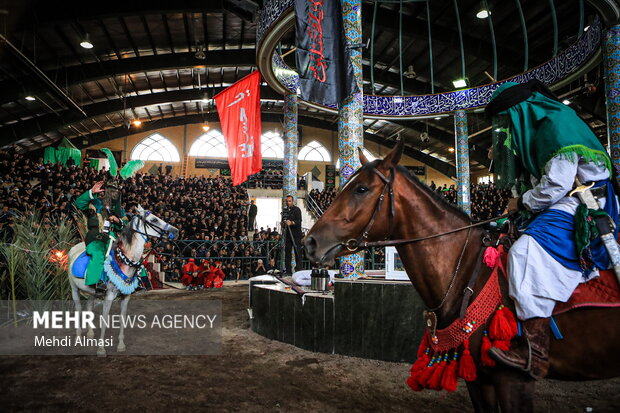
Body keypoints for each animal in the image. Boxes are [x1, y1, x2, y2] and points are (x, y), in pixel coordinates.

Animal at [68, 204, 179, 356]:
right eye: (154, 220)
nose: (176, 231)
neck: (124, 260)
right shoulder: (109, 296)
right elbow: (105, 319)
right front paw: (101, 349)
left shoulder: (125, 297)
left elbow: (122, 319)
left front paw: (121, 345)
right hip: (74, 288)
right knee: (79, 308)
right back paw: (79, 335)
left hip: (91, 290)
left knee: (89, 305)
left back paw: (90, 333)